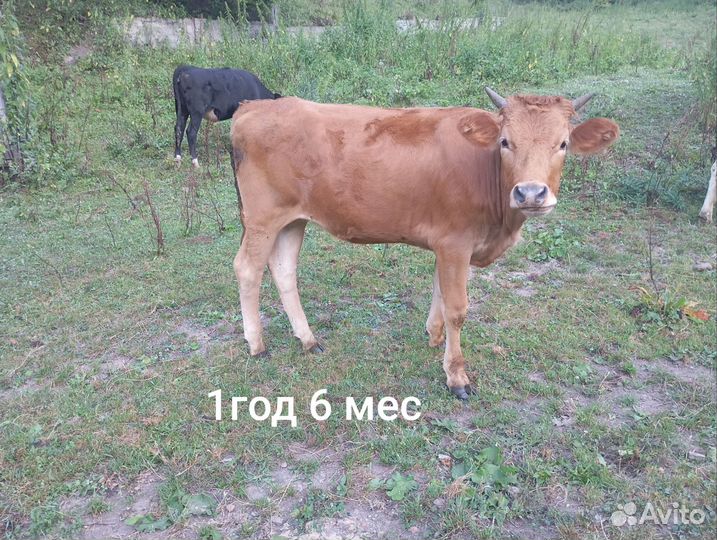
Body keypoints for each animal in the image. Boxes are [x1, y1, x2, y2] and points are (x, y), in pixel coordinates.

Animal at [229, 88, 620, 399]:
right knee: (247, 269)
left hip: (293, 220)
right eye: (506, 141)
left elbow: (439, 292)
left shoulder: (450, 245)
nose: (531, 193)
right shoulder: (455, 242)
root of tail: (253, 107)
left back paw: (308, 339)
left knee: (284, 271)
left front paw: (434, 337)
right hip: (263, 218)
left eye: (563, 143)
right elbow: (457, 308)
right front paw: (457, 376)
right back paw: (257, 344)